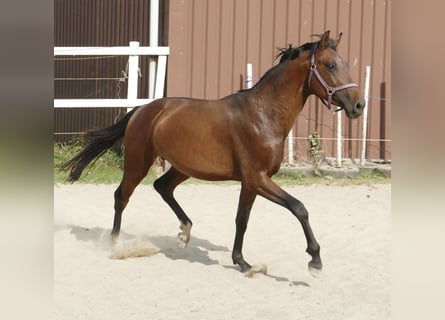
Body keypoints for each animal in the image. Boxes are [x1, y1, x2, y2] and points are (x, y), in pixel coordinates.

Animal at [60, 31, 362, 274]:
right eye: (330, 65)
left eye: (345, 64)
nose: (359, 105)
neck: (263, 115)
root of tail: (142, 109)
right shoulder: (258, 179)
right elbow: (299, 208)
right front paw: (315, 261)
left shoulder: (251, 183)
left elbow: (242, 220)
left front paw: (242, 262)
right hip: (138, 163)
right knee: (121, 196)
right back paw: (115, 244)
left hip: (183, 167)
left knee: (162, 187)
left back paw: (184, 232)